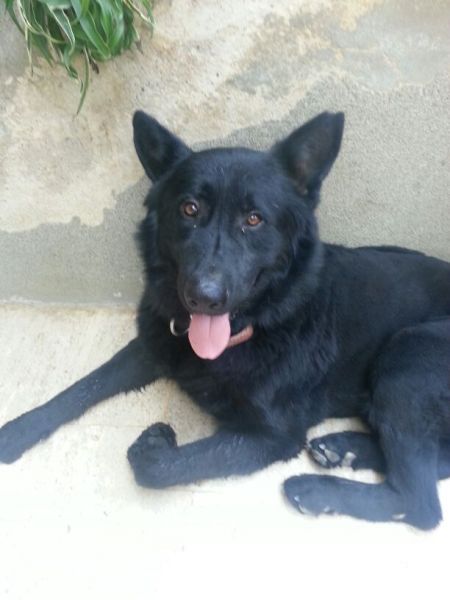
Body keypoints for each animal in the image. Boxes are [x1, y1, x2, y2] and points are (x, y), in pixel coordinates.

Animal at [1, 111, 449, 530]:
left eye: (253, 219)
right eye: (189, 209)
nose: (204, 297)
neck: (255, 327)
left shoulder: (271, 436)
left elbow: (161, 465)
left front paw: (155, 445)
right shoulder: (150, 346)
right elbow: (78, 389)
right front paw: (20, 429)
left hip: (407, 351)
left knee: (420, 504)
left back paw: (316, 488)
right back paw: (345, 448)